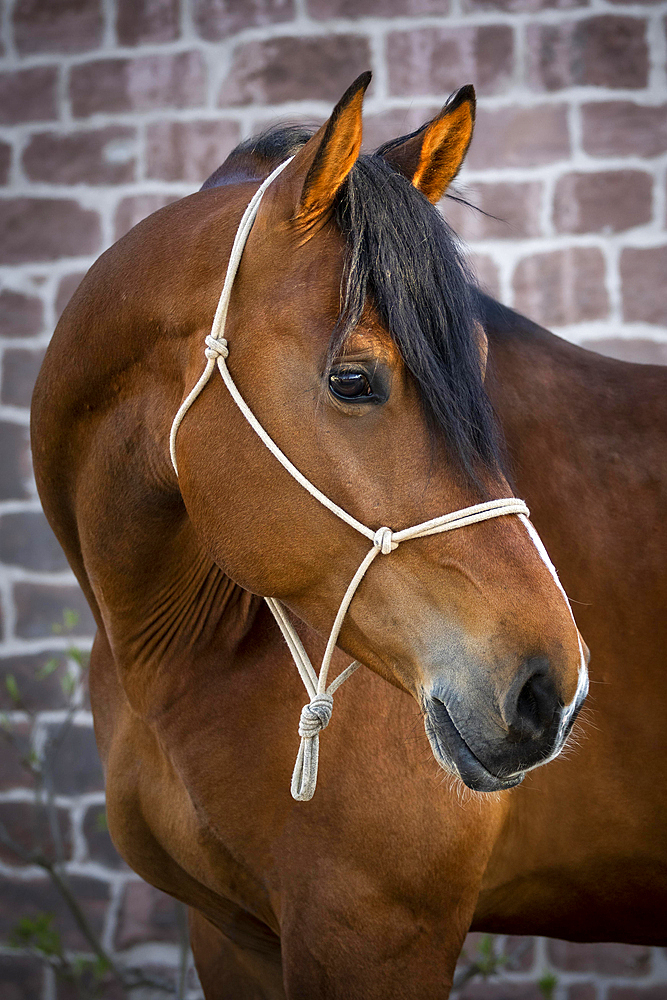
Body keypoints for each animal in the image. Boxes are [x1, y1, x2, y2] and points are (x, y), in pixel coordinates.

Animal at [31, 72, 667, 1000]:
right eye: (353, 380)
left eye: (478, 363)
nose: (550, 688)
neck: (175, 651)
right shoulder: (230, 936)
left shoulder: (371, 931)